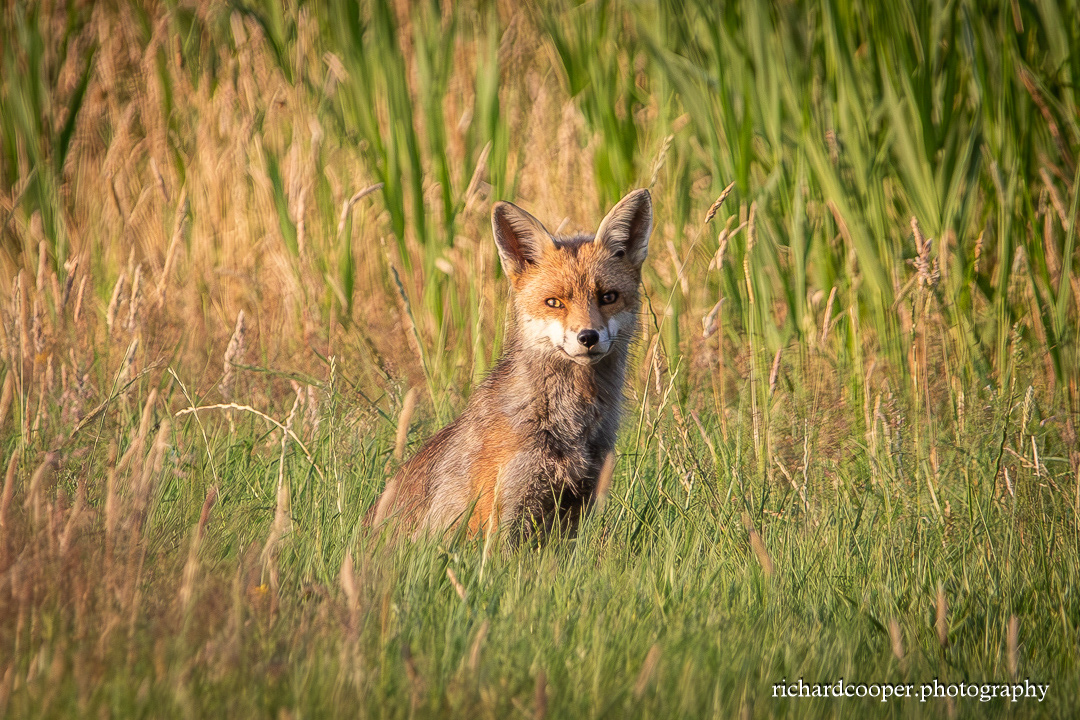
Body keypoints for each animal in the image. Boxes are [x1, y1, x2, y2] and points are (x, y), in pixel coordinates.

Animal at [368, 188, 652, 542]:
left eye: (608, 297)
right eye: (554, 302)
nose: (588, 336)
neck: (569, 424)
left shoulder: (574, 509)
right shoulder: (497, 515)